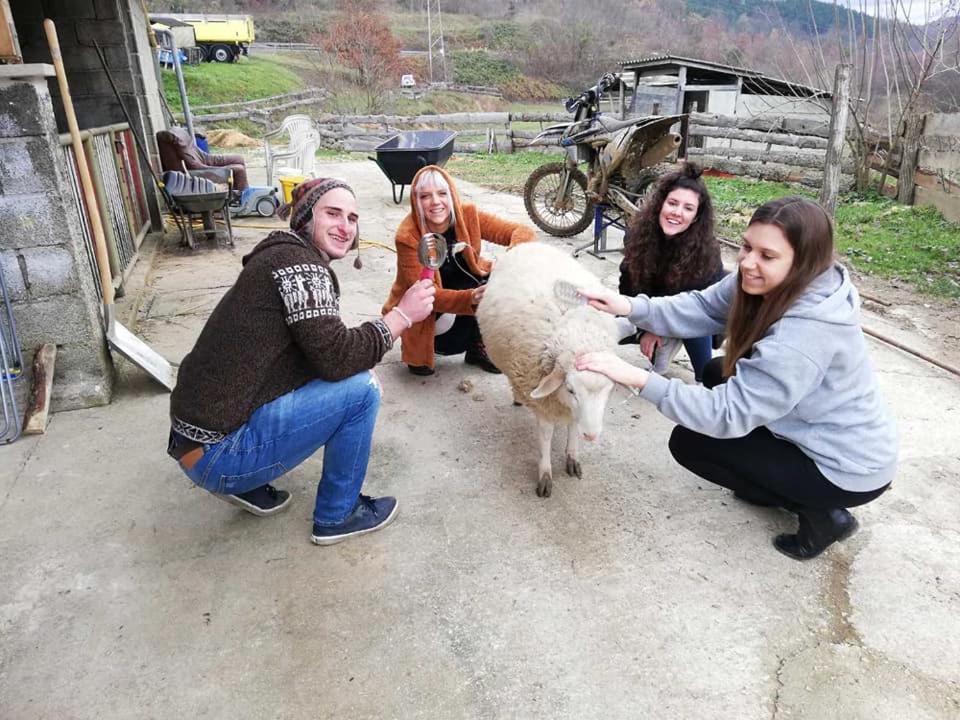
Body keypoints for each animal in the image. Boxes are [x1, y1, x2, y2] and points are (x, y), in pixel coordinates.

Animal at [476, 242, 620, 496]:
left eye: (610, 390)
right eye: (570, 389)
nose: (591, 435)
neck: (578, 336)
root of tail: (529, 243)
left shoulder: (571, 411)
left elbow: (573, 427)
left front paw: (572, 456)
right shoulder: (543, 404)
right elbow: (545, 437)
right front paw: (545, 474)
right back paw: (517, 397)